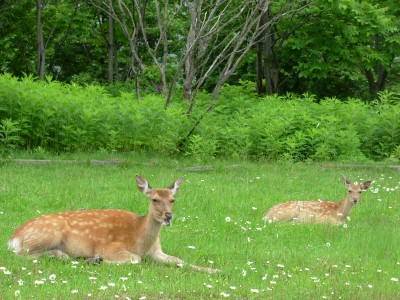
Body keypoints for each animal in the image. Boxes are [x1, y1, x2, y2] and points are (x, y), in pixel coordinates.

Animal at [7, 176, 219, 274]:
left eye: (173, 200)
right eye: (154, 199)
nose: (168, 216)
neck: (139, 238)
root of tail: (13, 237)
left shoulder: (157, 252)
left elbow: (178, 260)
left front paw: (215, 270)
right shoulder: (109, 246)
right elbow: (135, 259)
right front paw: (97, 260)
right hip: (49, 233)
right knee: (20, 254)